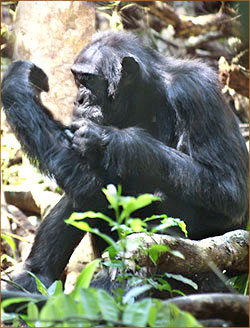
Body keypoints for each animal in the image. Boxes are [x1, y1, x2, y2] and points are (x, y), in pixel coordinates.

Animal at [1, 30, 248, 292]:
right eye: (77, 80)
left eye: (88, 80)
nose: (79, 99)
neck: (147, 96)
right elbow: (81, 172)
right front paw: (18, 81)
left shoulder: (196, 92)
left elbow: (229, 190)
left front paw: (110, 141)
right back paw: (35, 277)